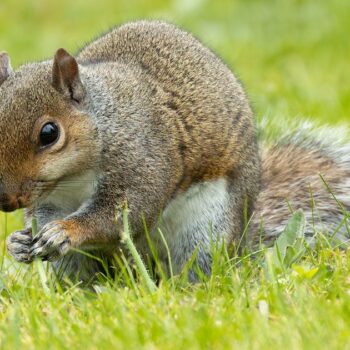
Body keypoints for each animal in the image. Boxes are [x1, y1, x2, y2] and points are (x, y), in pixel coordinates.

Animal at [0, 19, 348, 282]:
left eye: (49, 133)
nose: (6, 201)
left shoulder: (144, 159)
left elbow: (121, 214)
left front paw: (64, 231)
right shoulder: (53, 200)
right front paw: (18, 242)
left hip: (206, 231)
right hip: (79, 263)